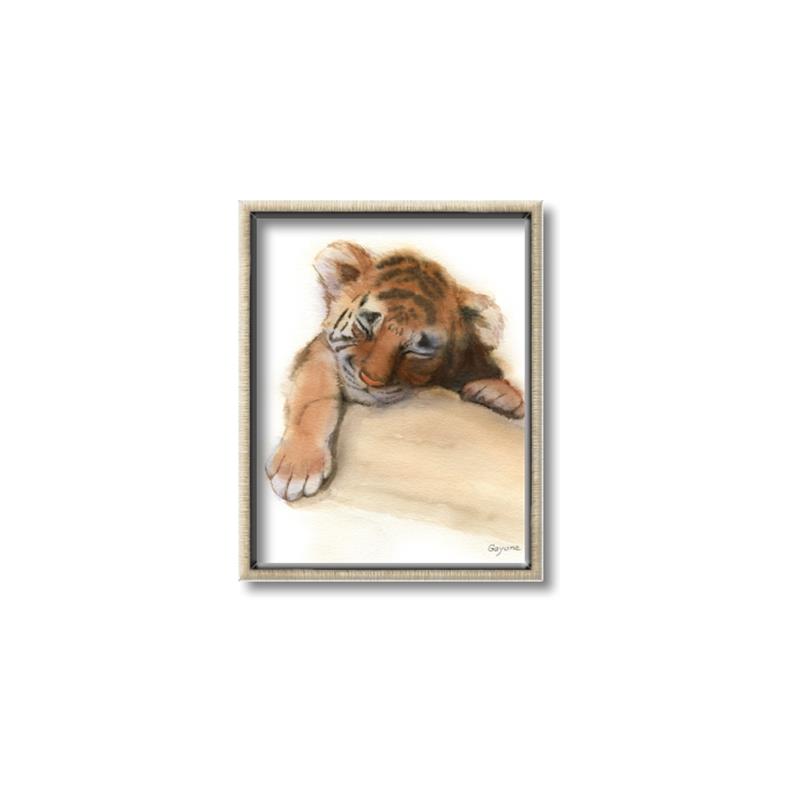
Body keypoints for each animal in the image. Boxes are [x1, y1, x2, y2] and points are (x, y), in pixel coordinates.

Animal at [266, 240, 525, 501]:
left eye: (419, 348)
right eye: (367, 324)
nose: (370, 380)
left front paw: (499, 391)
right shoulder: (321, 351)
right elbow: (313, 397)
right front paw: (296, 468)